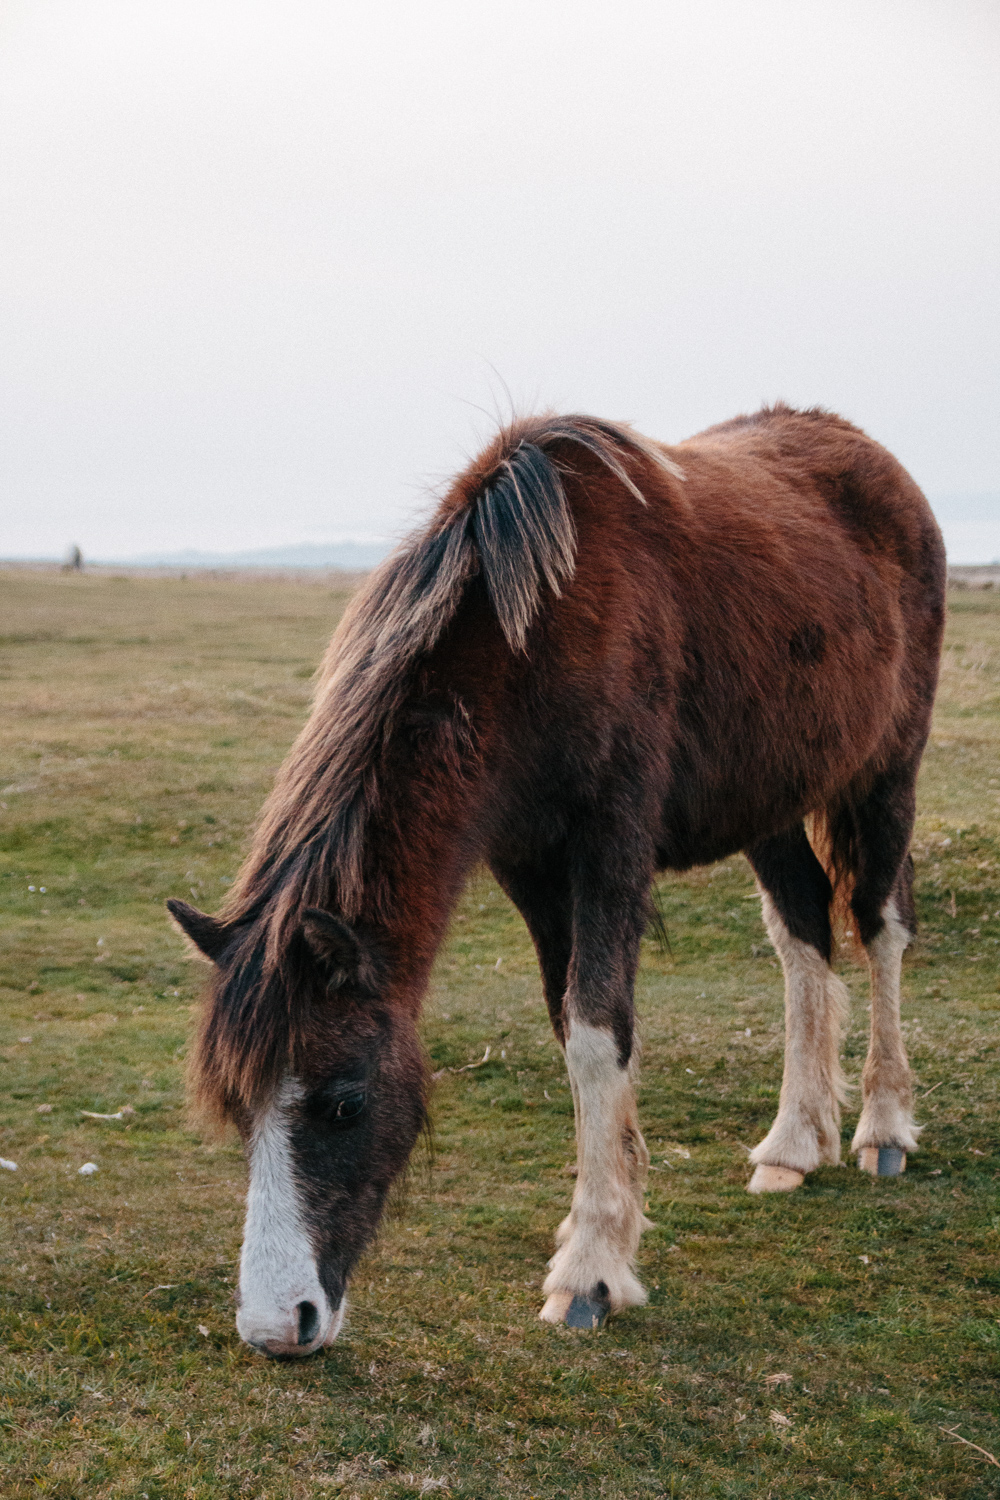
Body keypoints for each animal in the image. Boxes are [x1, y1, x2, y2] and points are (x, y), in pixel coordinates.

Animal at [167, 405, 941, 1356]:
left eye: (344, 1102)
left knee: (880, 925)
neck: (533, 639)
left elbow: (597, 1032)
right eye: (239, 1109)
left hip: (886, 772)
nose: (278, 1327)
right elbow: (569, 1027)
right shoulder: (531, 869)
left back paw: (883, 1127)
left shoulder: (609, 848)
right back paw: (795, 1144)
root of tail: (871, 456)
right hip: (771, 798)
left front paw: (593, 1268)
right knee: (803, 937)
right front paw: (597, 1223)